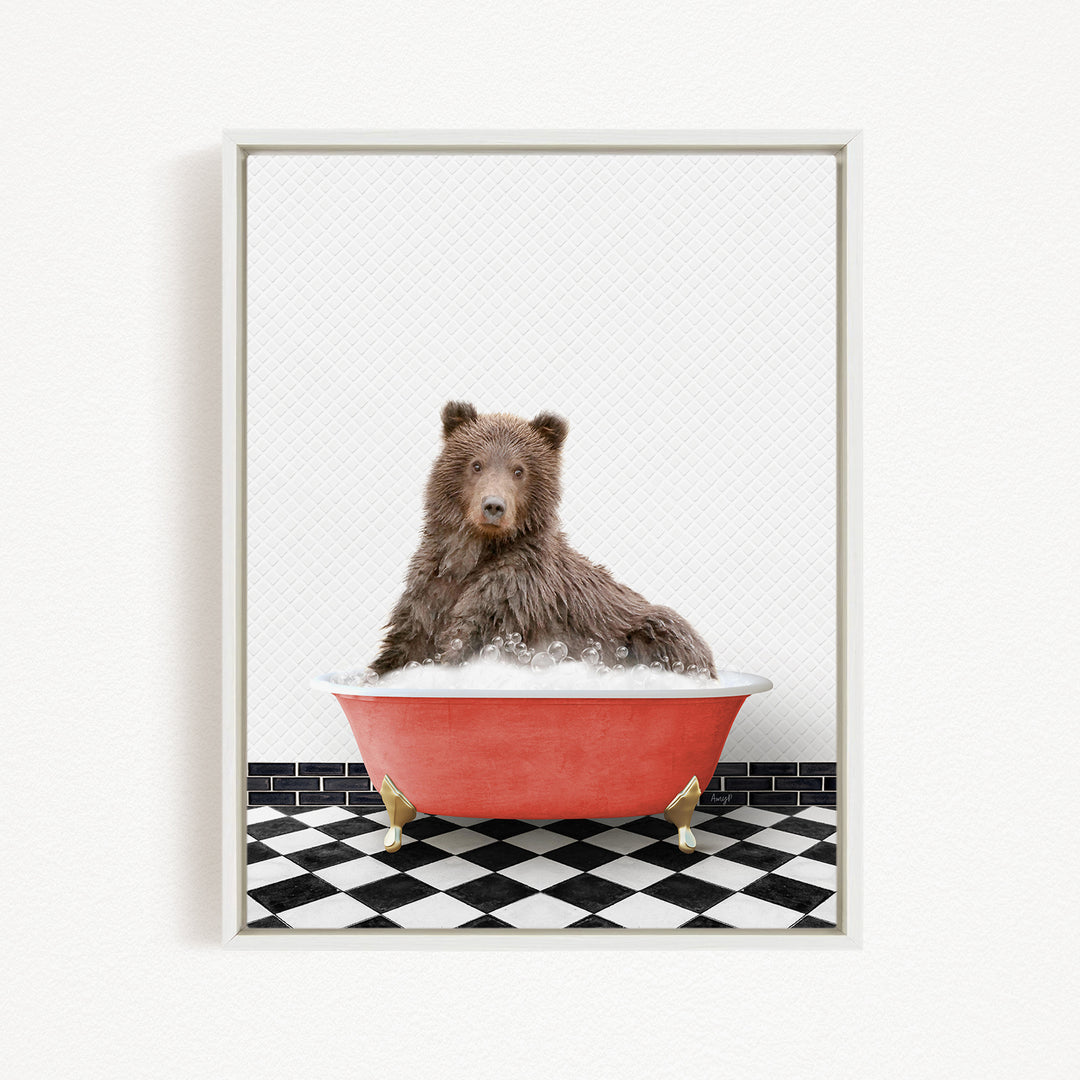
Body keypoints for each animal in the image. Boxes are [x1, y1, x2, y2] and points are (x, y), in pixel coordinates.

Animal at [369, 401, 716, 678]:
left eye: (519, 470)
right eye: (476, 464)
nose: (493, 506)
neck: (475, 553)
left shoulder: (514, 595)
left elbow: (469, 640)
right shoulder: (430, 589)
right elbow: (404, 645)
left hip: (650, 629)